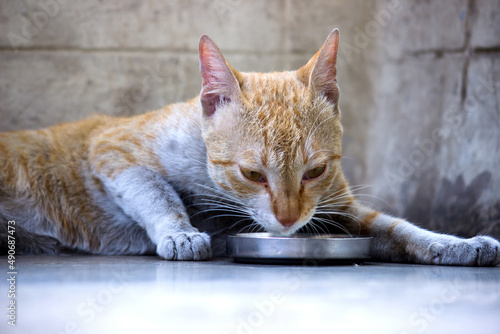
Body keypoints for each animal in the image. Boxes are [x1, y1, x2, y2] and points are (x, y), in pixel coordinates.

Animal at [0, 28, 498, 264]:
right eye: (253, 174)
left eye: (314, 171)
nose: (289, 219)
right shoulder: (114, 148)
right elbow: (157, 192)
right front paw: (180, 232)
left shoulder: (344, 210)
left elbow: (402, 229)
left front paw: (457, 244)